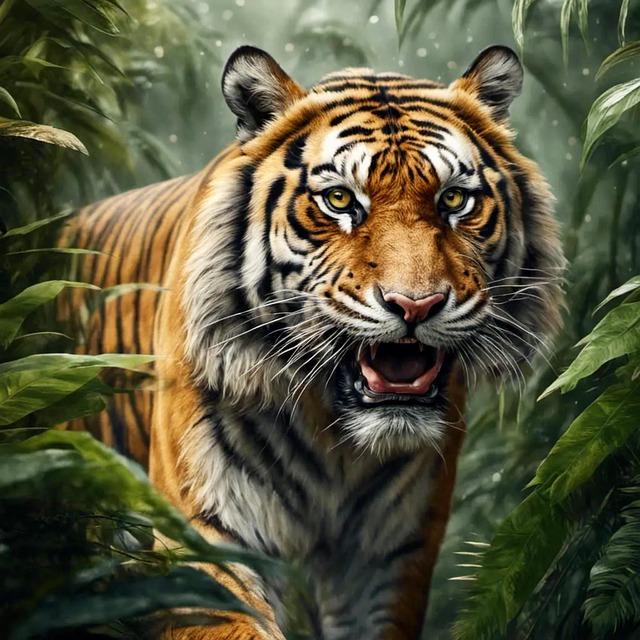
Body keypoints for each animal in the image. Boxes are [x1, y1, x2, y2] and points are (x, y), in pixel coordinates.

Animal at [61, 45, 565, 639]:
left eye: (455, 199)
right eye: (341, 200)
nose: (415, 305)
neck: (335, 438)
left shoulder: (390, 555)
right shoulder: (202, 534)